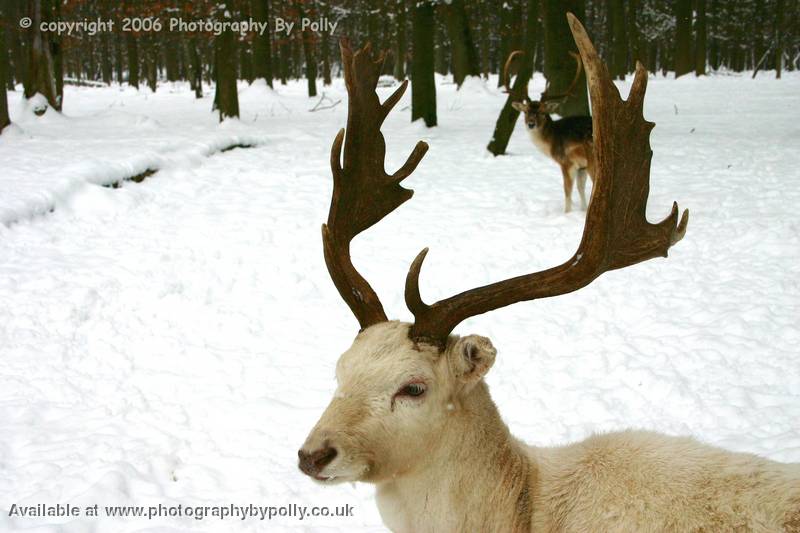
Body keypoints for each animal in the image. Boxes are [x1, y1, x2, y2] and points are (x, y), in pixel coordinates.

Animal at [506, 50, 592, 212]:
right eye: (525, 111)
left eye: (542, 112)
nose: (531, 124)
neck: (552, 141)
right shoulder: (581, 167)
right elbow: (580, 188)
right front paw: (584, 210)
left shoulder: (567, 162)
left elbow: (568, 191)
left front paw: (567, 213)